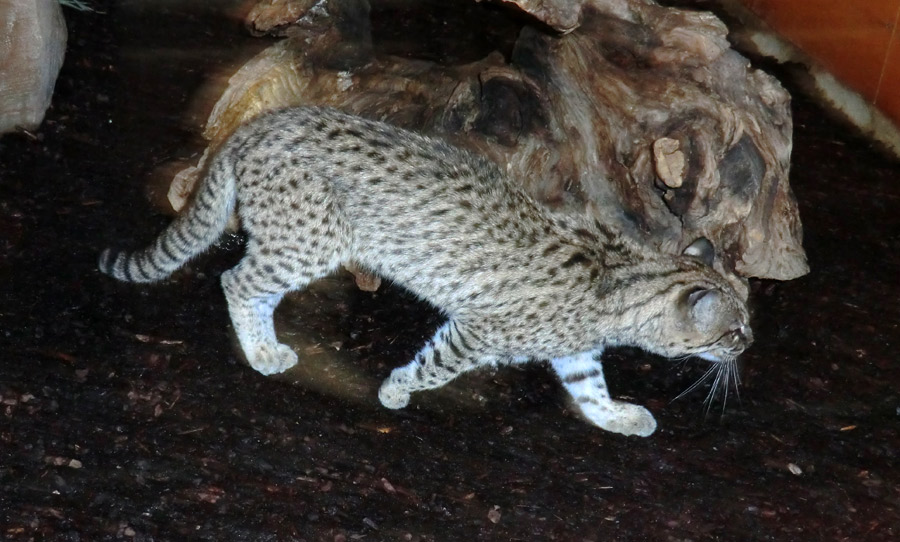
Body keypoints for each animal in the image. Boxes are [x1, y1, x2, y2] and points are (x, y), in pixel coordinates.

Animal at [96, 106, 752, 438]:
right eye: (735, 331)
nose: (747, 349)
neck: (626, 277)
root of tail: (265, 120)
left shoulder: (575, 351)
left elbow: (592, 390)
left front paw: (616, 415)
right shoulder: (479, 329)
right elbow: (438, 363)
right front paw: (397, 389)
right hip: (310, 239)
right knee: (237, 280)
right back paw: (261, 349)